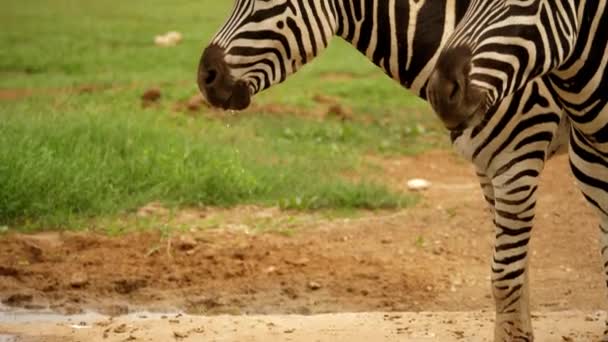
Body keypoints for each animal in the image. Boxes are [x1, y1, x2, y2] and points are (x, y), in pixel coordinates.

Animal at [196, 0, 568, 340]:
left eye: (267, 3)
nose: (204, 78)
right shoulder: (488, 166)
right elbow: (517, 275)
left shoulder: (519, 157)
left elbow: (505, 279)